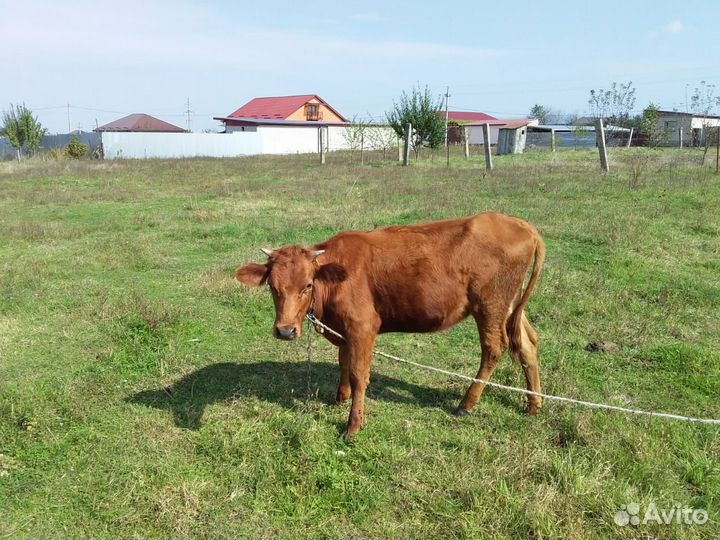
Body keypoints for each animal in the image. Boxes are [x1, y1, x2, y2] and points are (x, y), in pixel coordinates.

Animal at [235, 212, 545, 438]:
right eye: (272, 287)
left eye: (308, 285)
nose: (285, 331)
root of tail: (521, 225)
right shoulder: (345, 330)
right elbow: (343, 362)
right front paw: (340, 397)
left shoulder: (363, 327)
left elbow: (359, 374)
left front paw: (353, 425)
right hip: (510, 306)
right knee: (527, 344)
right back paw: (534, 404)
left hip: (490, 305)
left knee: (494, 348)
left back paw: (466, 405)